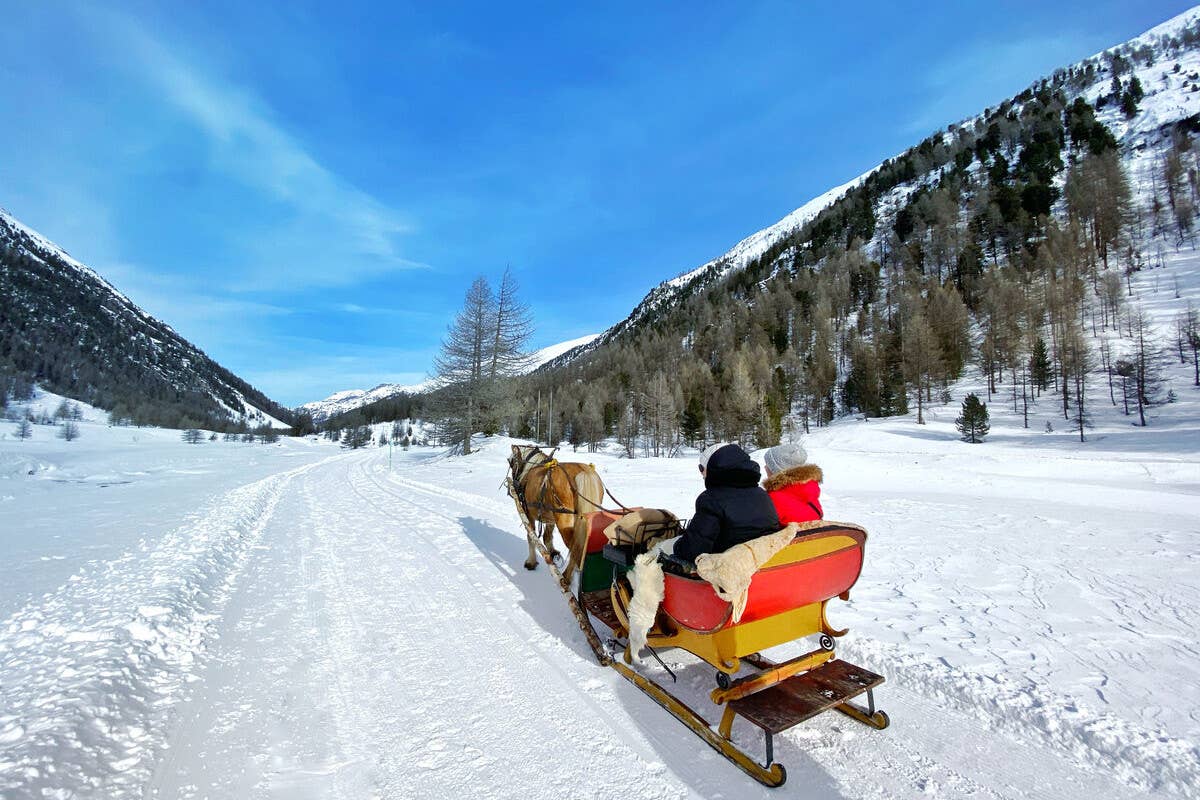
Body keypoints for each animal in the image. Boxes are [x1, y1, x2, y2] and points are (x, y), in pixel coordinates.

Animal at [504, 443, 604, 582]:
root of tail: (584, 472)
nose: (514, 481)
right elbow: (547, 536)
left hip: (564, 522)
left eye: (511, 462)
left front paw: (531, 562)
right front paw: (553, 553)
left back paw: (566, 578)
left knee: (576, 549)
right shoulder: (550, 518)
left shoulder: (528, 514)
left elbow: (531, 537)